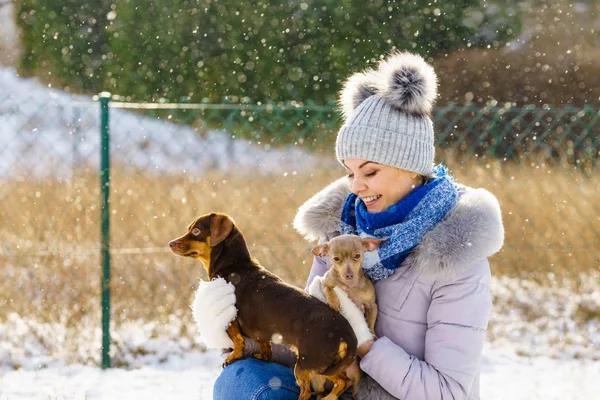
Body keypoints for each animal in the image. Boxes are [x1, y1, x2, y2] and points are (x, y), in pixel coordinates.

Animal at [166, 212, 358, 400]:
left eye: (196, 231)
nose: (170, 243)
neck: (234, 265)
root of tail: (346, 334)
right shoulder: (262, 333)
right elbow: (265, 346)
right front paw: (264, 356)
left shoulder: (231, 318)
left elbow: (237, 340)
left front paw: (233, 357)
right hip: (326, 365)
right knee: (343, 381)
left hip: (307, 365)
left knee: (306, 391)